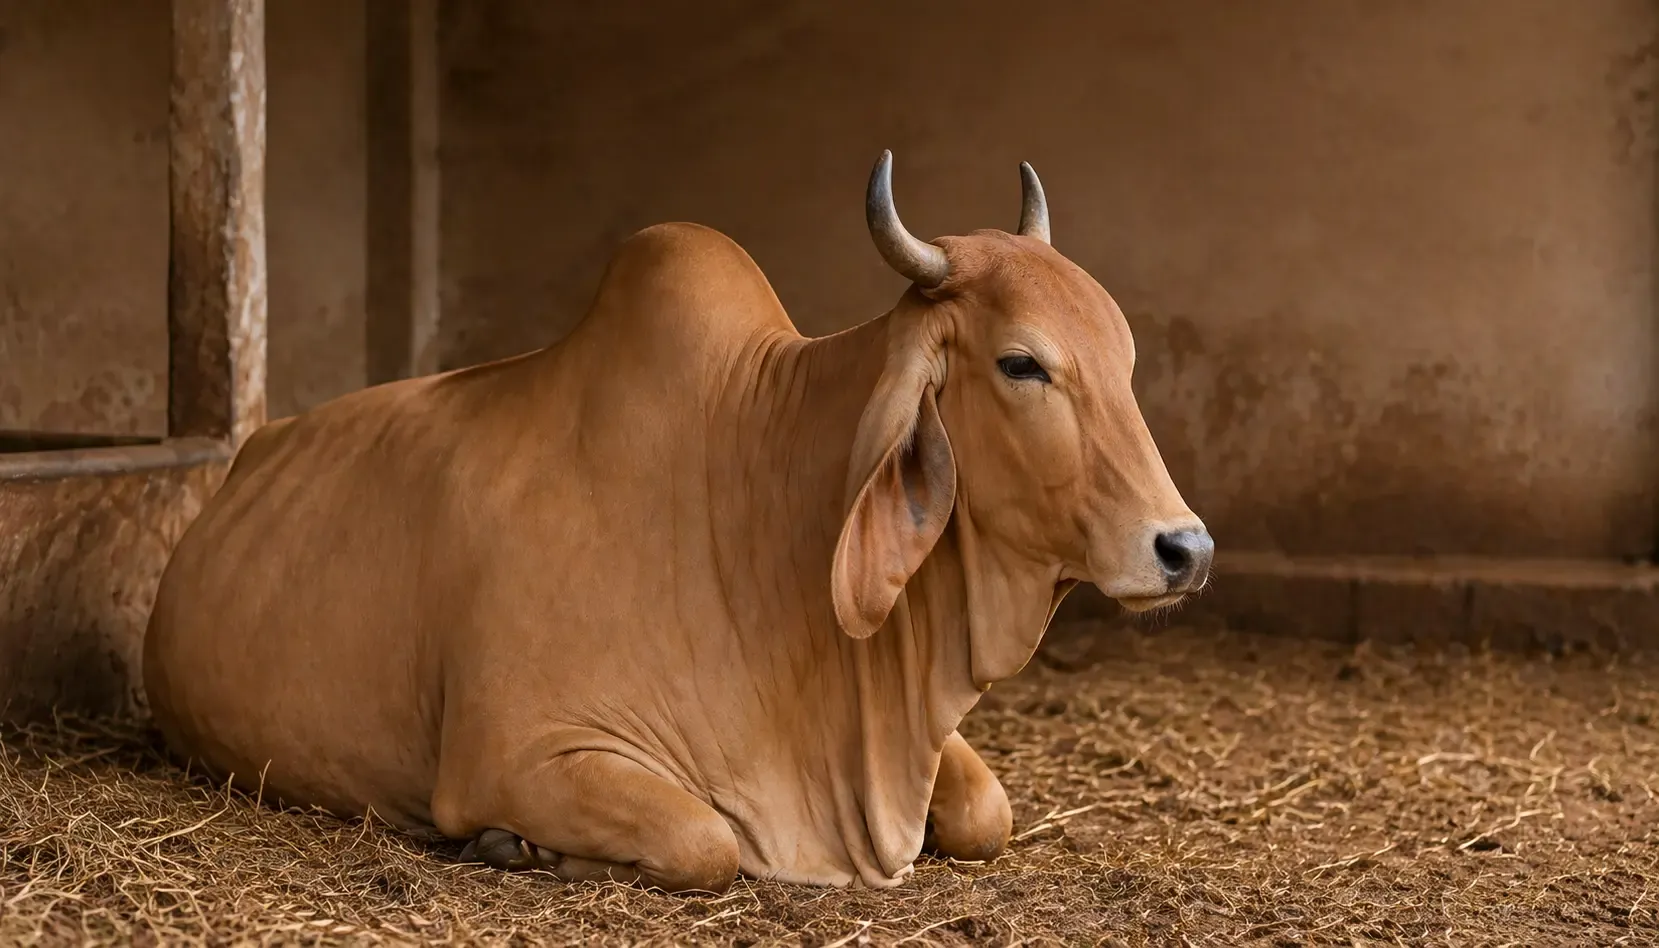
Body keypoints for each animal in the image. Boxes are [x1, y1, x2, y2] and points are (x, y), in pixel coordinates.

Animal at [142, 151, 1212, 894]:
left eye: (1122, 355)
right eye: (1021, 363)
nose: (1185, 547)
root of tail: (252, 446)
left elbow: (988, 810)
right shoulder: (520, 746)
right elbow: (707, 841)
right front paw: (518, 847)